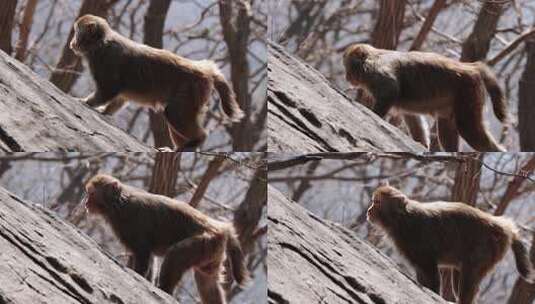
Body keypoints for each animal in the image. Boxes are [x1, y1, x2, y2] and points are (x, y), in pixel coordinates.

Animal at [69, 15, 245, 151]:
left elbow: (110, 88)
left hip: (191, 89)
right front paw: (105, 111)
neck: (100, 43)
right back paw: (181, 147)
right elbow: (120, 96)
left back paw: (195, 141)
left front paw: (86, 102)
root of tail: (203, 69)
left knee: (174, 112)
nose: (71, 43)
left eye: (77, 32)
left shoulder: (106, 59)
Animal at [82, 173, 250, 302]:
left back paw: (164, 290)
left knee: (176, 255)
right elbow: (149, 257)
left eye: (92, 193)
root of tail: (221, 228)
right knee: (207, 282)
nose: (86, 203)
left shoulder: (130, 220)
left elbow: (142, 253)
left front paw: (138, 275)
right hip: (212, 252)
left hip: (206, 242)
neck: (118, 203)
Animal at [344, 43, 506, 152]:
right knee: (446, 126)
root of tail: (471, 67)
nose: (347, 77)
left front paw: (375, 115)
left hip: (468, 90)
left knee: (467, 128)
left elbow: (390, 91)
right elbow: (412, 117)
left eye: (347, 67)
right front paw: (422, 144)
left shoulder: (376, 70)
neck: (373, 57)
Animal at [368, 185, 535, 304]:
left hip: (488, 248)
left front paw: (434, 293)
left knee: (469, 275)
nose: (369, 211)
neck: (400, 220)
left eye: (377, 202)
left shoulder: (417, 237)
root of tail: (502, 225)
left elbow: (430, 273)